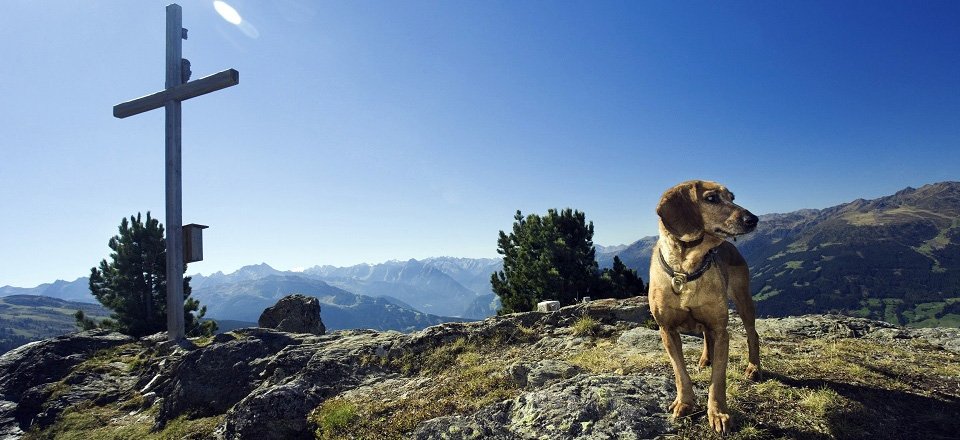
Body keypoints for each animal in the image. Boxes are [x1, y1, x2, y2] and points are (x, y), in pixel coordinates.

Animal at [648, 181, 760, 434]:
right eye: (711, 199)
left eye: (732, 197)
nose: (753, 219)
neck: (686, 269)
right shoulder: (667, 330)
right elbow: (680, 372)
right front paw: (684, 403)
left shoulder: (720, 330)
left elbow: (718, 380)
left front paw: (718, 413)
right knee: (706, 338)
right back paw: (705, 359)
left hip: (743, 299)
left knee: (753, 334)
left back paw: (754, 368)